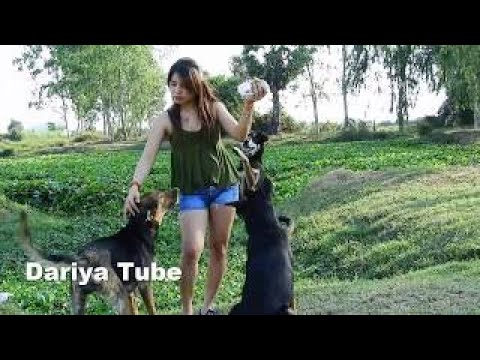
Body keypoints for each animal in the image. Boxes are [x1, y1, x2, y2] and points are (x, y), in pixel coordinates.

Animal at [16, 190, 179, 314]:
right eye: (162, 195)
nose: (177, 189)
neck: (138, 230)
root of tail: (82, 258)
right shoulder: (144, 286)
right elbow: (152, 309)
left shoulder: (131, 292)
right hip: (119, 296)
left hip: (79, 302)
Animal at [226, 131, 296, 314]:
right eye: (248, 134)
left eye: (255, 136)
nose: (245, 141)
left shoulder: (251, 188)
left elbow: (248, 170)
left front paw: (240, 155)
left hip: (238, 307)